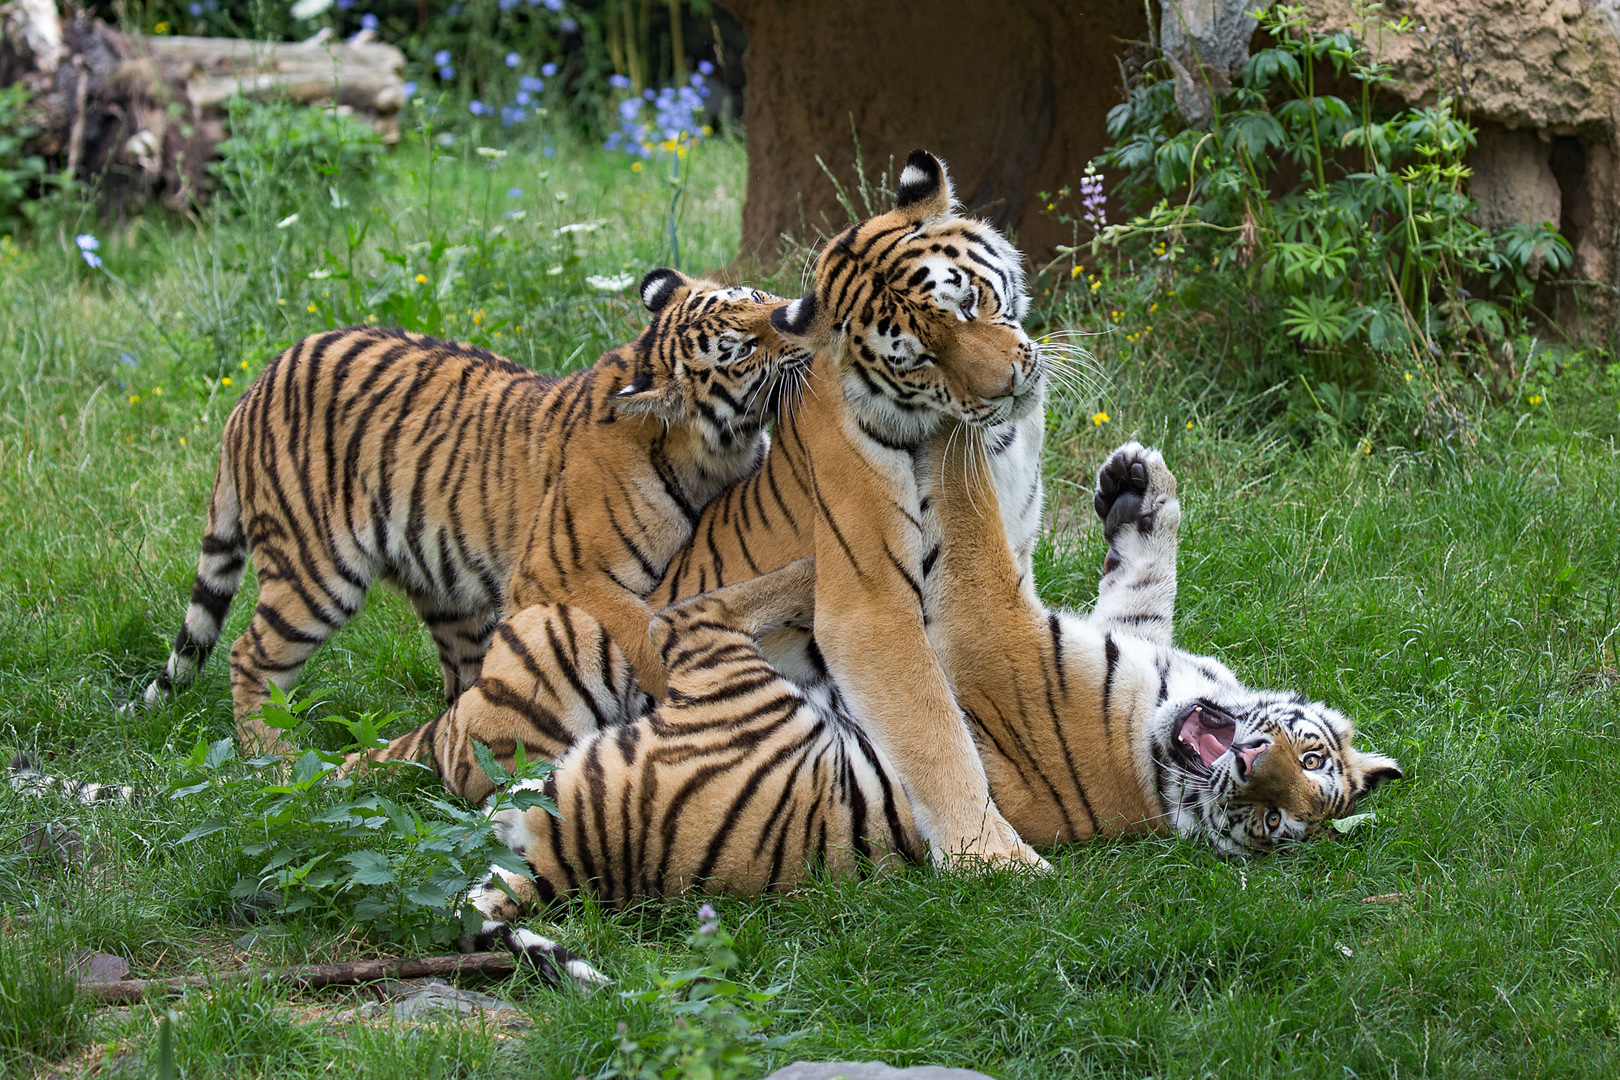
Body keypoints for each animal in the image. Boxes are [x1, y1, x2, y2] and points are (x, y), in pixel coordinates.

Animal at [145, 270, 803, 751]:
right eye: (742, 350)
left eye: (756, 297)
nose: (794, 315)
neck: (715, 447)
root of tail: (251, 389)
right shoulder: (558, 573)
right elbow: (646, 630)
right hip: (316, 573)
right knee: (249, 656)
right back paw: (274, 762)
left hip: (447, 593)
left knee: (464, 681)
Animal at [354, 152, 1049, 867]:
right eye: (917, 359)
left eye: (968, 301)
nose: (1008, 386)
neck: (1002, 437)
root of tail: (452, 709)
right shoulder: (870, 600)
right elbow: (934, 728)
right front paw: (994, 857)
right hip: (563, 630)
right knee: (489, 770)